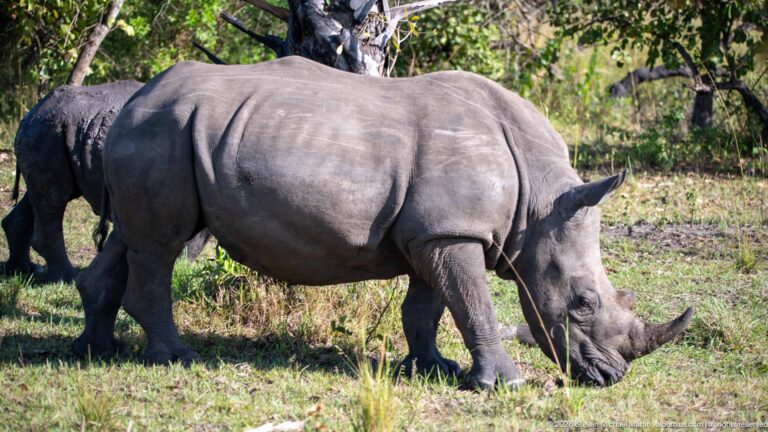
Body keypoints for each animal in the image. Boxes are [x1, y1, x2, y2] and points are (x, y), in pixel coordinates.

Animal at [2, 81, 209, 282]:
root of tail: (31, 112)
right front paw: (179, 267)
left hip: (53, 130)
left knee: (40, 196)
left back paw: (21, 270)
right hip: (50, 130)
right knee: (54, 197)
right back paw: (65, 278)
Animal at [74, 56, 692, 389]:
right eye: (583, 303)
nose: (611, 377)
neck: (540, 204)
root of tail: (134, 97)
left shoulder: (436, 231)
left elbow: (429, 307)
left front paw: (432, 368)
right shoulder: (453, 230)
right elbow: (475, 304)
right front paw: (505, 383)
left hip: (158, 132)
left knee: (133, 236)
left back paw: (96, 350)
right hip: (162, 131)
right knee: (160, 244)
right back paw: (173, 358)